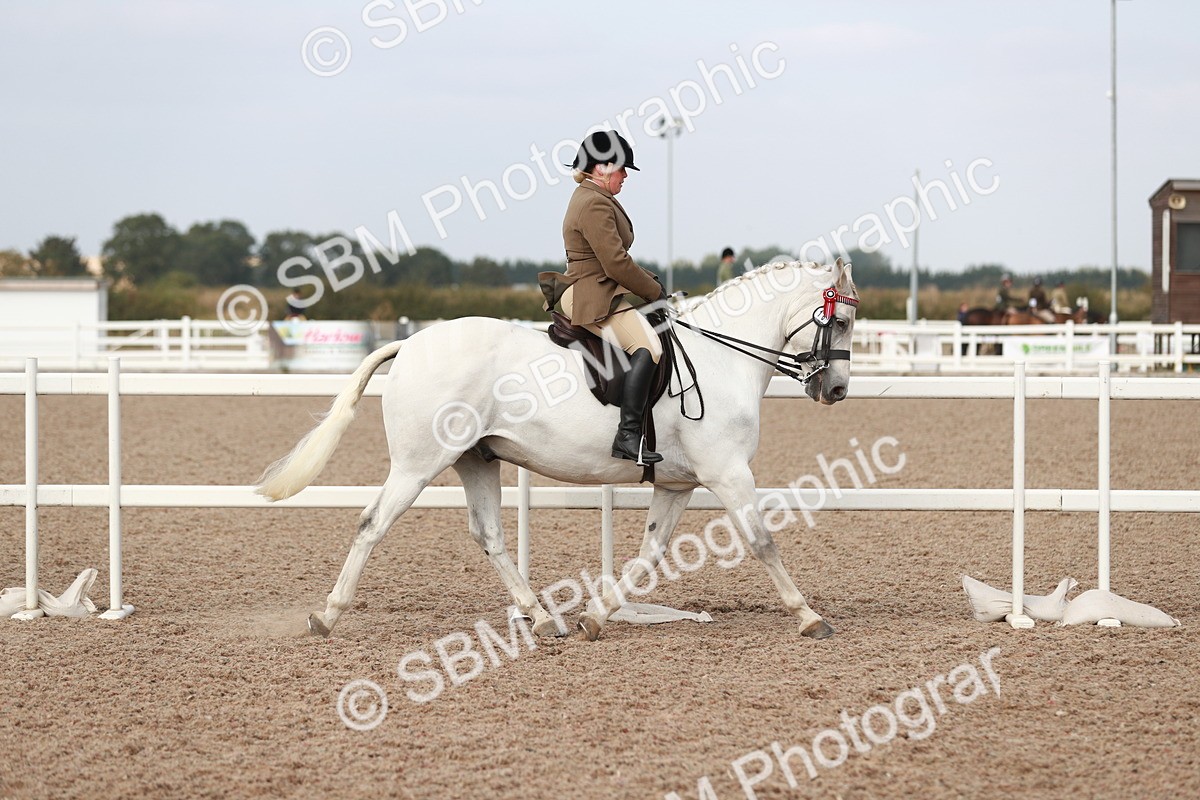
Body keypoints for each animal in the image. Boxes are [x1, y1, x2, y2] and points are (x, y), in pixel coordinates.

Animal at [256, 259, 859, 642]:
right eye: (845, 320)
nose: (835, 390)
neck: (720, 358)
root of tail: (410, 343)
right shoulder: (730, 473)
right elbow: (762, 542)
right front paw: (809, 618)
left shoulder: (676, 483)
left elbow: (649, 553)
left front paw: (598, 616)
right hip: (416, 465)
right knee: (372, 524)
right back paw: (327, 616)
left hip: (476, 460)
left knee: (490, 536)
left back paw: (543, 618)